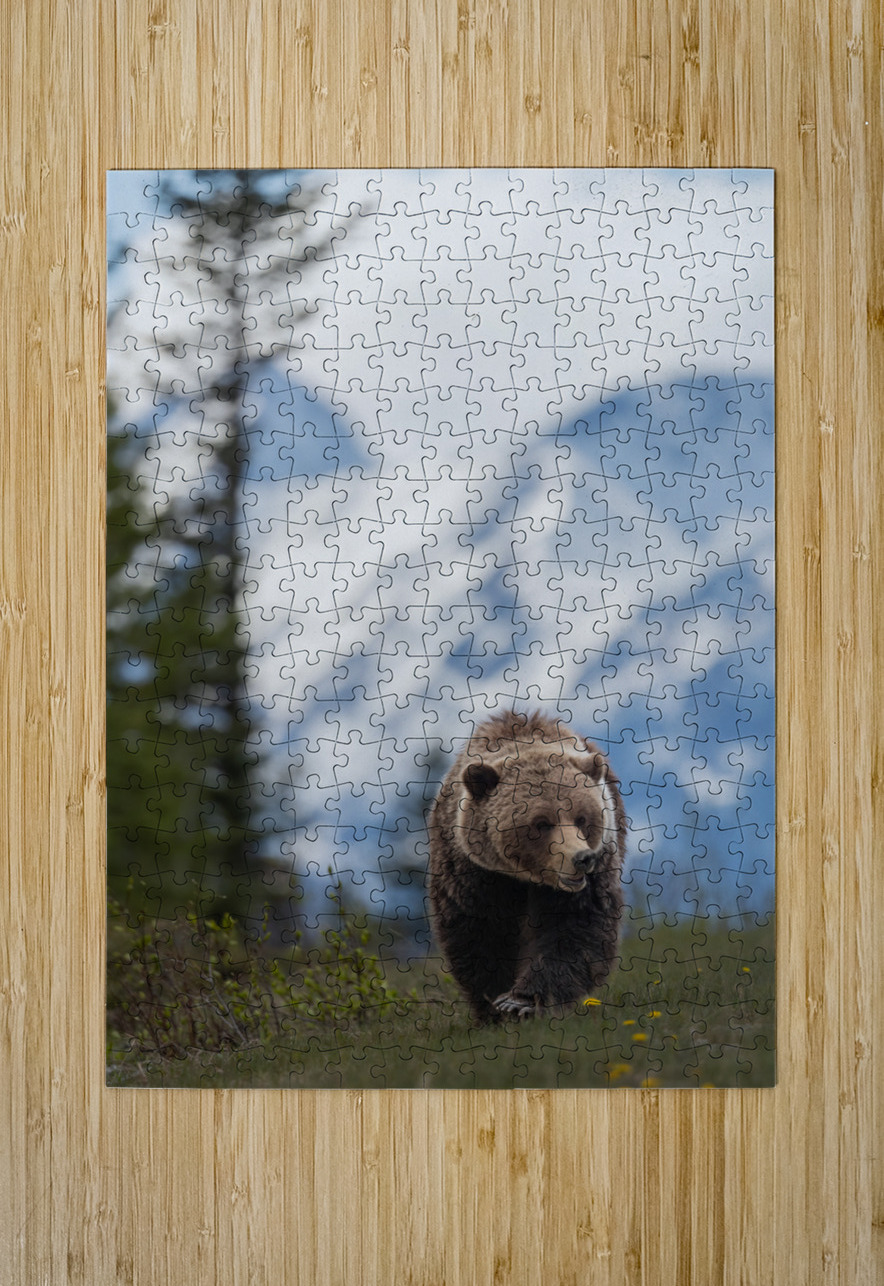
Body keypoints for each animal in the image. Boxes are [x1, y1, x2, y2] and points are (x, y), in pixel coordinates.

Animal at [427, 709, 627, 1023]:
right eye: (541, 823)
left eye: (582, 818)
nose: (582, 858)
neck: (525, 878)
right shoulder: (473, 872)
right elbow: (479, 933)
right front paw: (494, 1004)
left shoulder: (593, 872)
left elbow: (575, 928)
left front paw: (521, 1001)